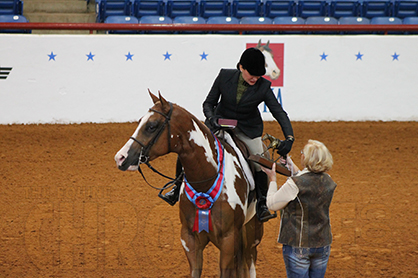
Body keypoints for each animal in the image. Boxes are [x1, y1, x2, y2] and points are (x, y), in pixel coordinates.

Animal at [113, 90, 264, 276]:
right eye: (141, 120)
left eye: (152, 126)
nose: (120, 157)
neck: (206, 182)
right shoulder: (189, 239)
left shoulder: (229, 239)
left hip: (252, 231)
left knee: (250, 260)